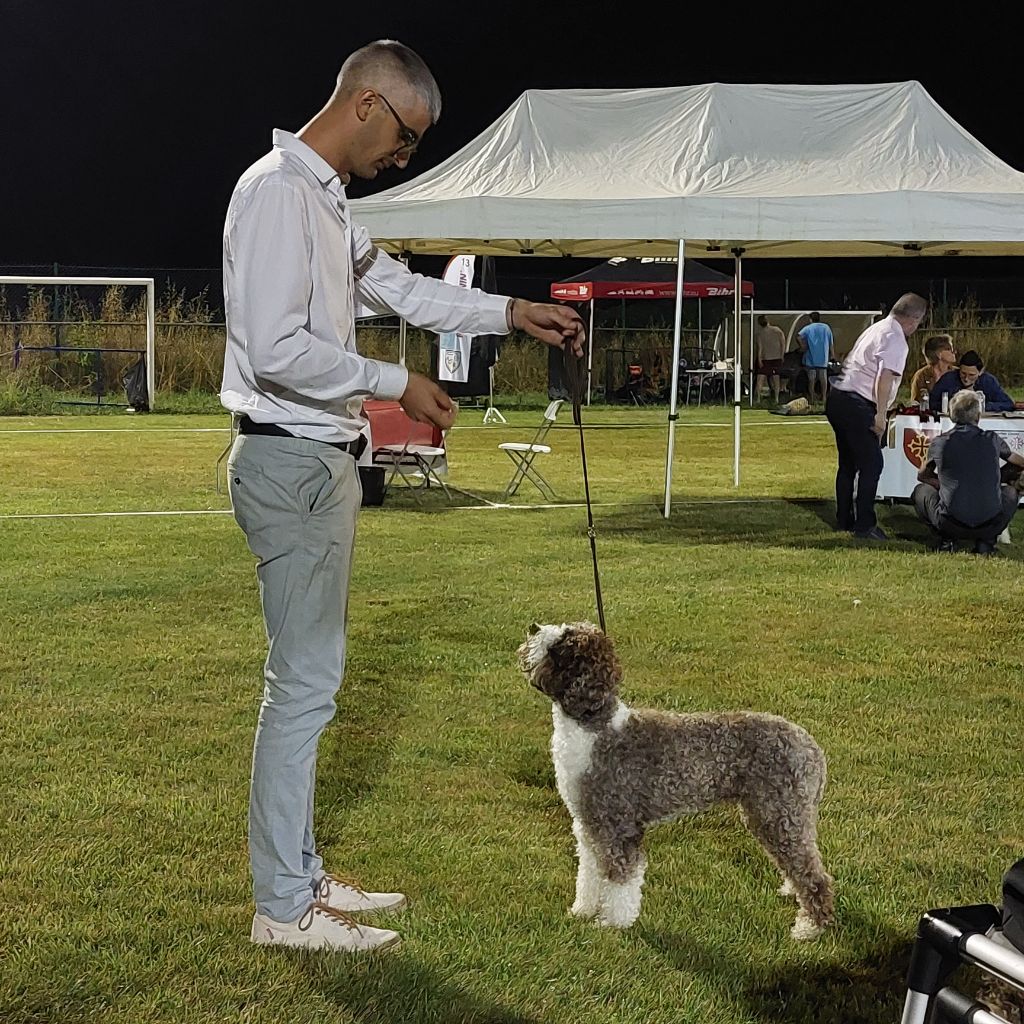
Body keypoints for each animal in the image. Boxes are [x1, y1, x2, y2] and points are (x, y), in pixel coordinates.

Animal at [520, 618, 831, 937]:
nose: (533, 626)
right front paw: (582, 911)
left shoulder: (618, 825)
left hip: (781, 814)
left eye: (561, 644)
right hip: (768, 815)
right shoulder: (588, 825)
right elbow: (589, 873)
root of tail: (812, 748)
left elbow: (621, 878)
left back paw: (809, 928)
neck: (594, 726)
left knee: (814, 875)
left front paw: (613, 924)